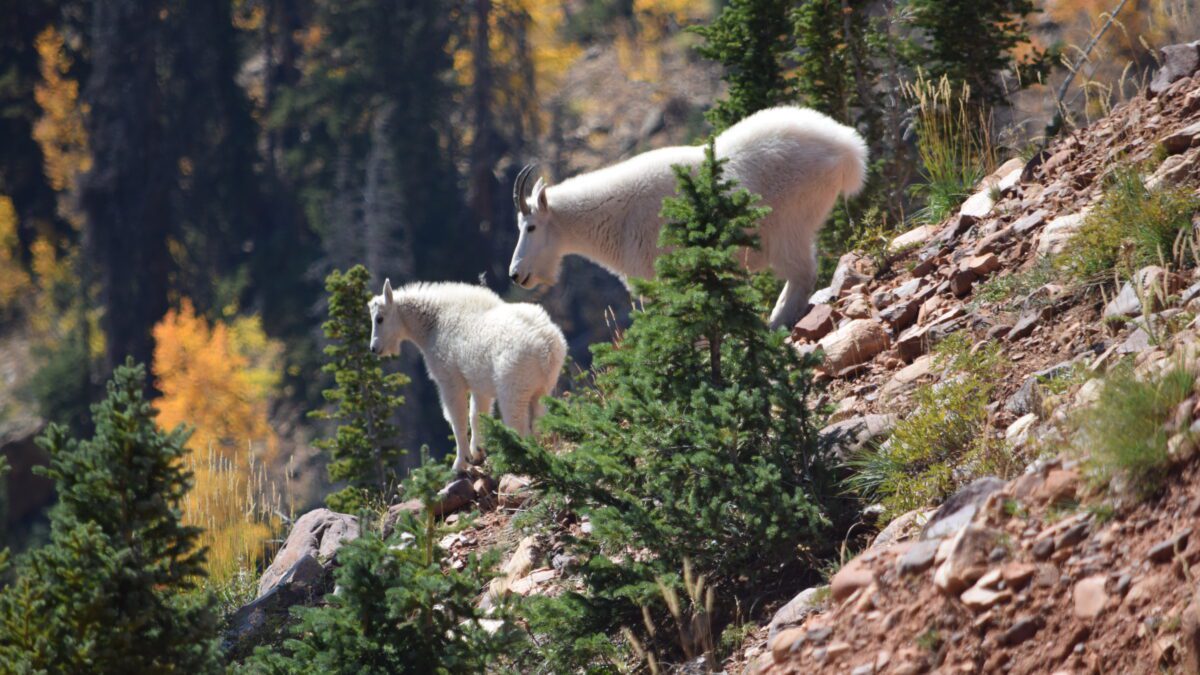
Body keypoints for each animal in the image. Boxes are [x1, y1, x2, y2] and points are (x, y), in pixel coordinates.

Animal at [367, 278, 568, 473]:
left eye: (379, 319)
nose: (374, 349)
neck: (433, 324)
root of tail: (546, 345)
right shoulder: (480, 385)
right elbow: (477, 416)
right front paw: (477, 453)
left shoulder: (449, 379)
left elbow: (458, 419)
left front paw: (460, 464)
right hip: (544, 388)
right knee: (539, 422)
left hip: (514, 387)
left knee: (518, 424)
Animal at [511, 104, 868, 331]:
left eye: (531, 227)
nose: (516, 274)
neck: (616, 216)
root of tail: (847, 147)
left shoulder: (659, 278)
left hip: (787, 226)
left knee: (802, 274)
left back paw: (775, 322)